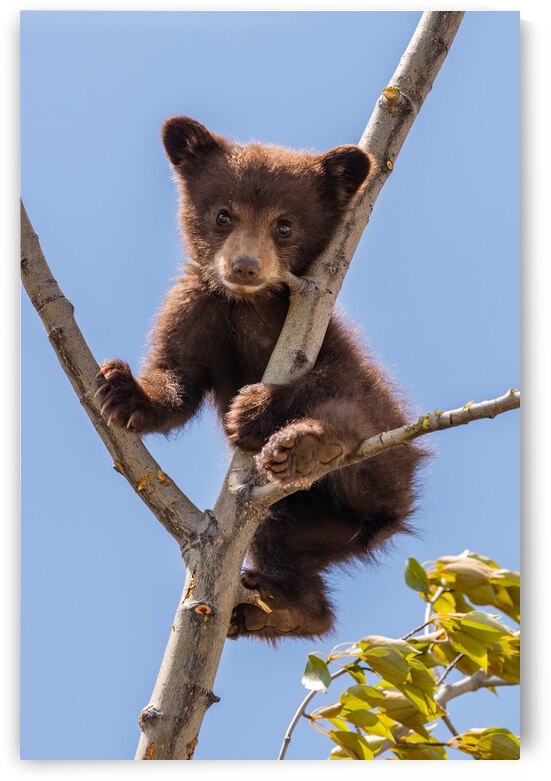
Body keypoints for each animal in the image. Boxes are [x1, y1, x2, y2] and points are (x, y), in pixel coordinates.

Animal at [96, 116, 426, 641]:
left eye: (284, 225)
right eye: (223, 215)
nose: (245, 266)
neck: (247, 304)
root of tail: (387, 520)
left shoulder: (313, 316)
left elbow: (333, 372)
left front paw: (255, 407)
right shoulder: (196, 303)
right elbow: (178, 378)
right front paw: (125, 392)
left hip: (390, 461)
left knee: (354, 415)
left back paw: (307, 445)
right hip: (313, 524)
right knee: (285, 547)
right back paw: (282, 609)